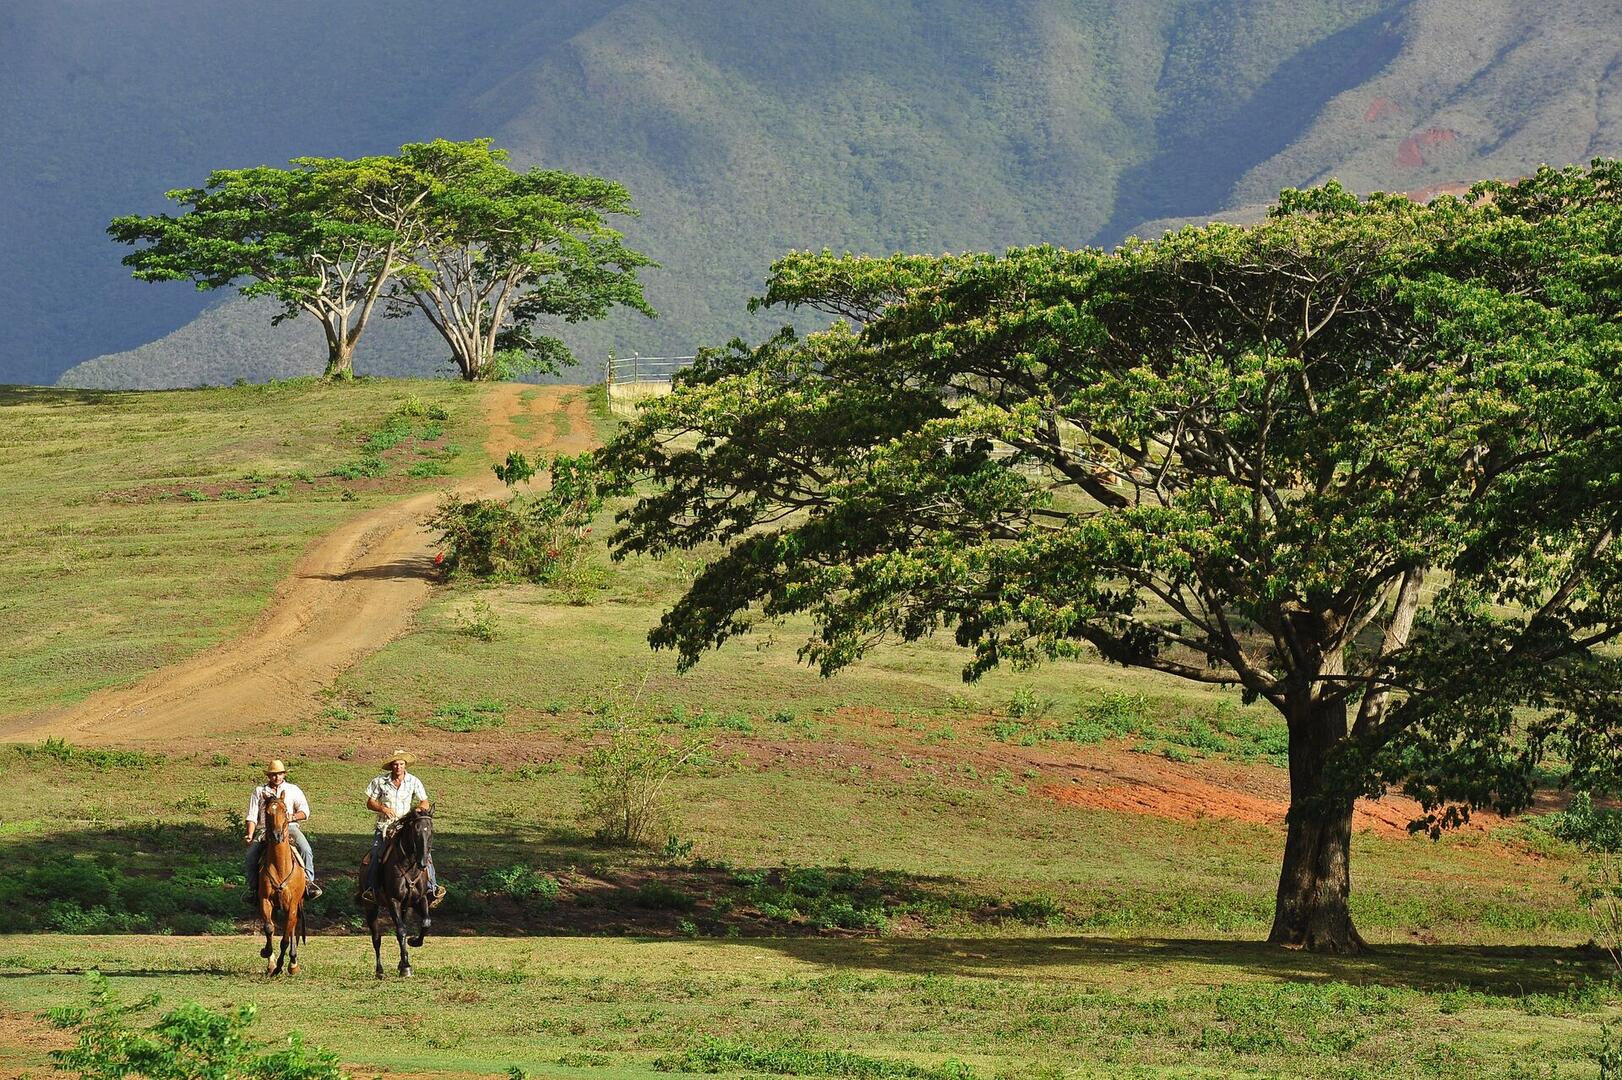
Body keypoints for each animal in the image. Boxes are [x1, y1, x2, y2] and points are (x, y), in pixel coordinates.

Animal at [253, 794, 306, 972]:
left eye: (285, 810)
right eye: (268, 812)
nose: (277, 835)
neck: (280, 867)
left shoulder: (293, 905)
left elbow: (285, 939)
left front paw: (280, 967)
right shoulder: (264, 900)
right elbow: (269, 928)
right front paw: (267, 954)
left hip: (296, 905)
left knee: (293, 928)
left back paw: (293, 963)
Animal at [361, 807, 434, 972]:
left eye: (431, 830)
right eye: (416, 830)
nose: (423, 862)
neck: (410, 867)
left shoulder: (419, 899)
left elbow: (426, 922)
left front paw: (414, 942)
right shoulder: (393, 901)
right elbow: (401, 931)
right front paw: (406, 966)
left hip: (405, 907)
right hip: (370, 907)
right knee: (376, 937)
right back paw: (379, 970)